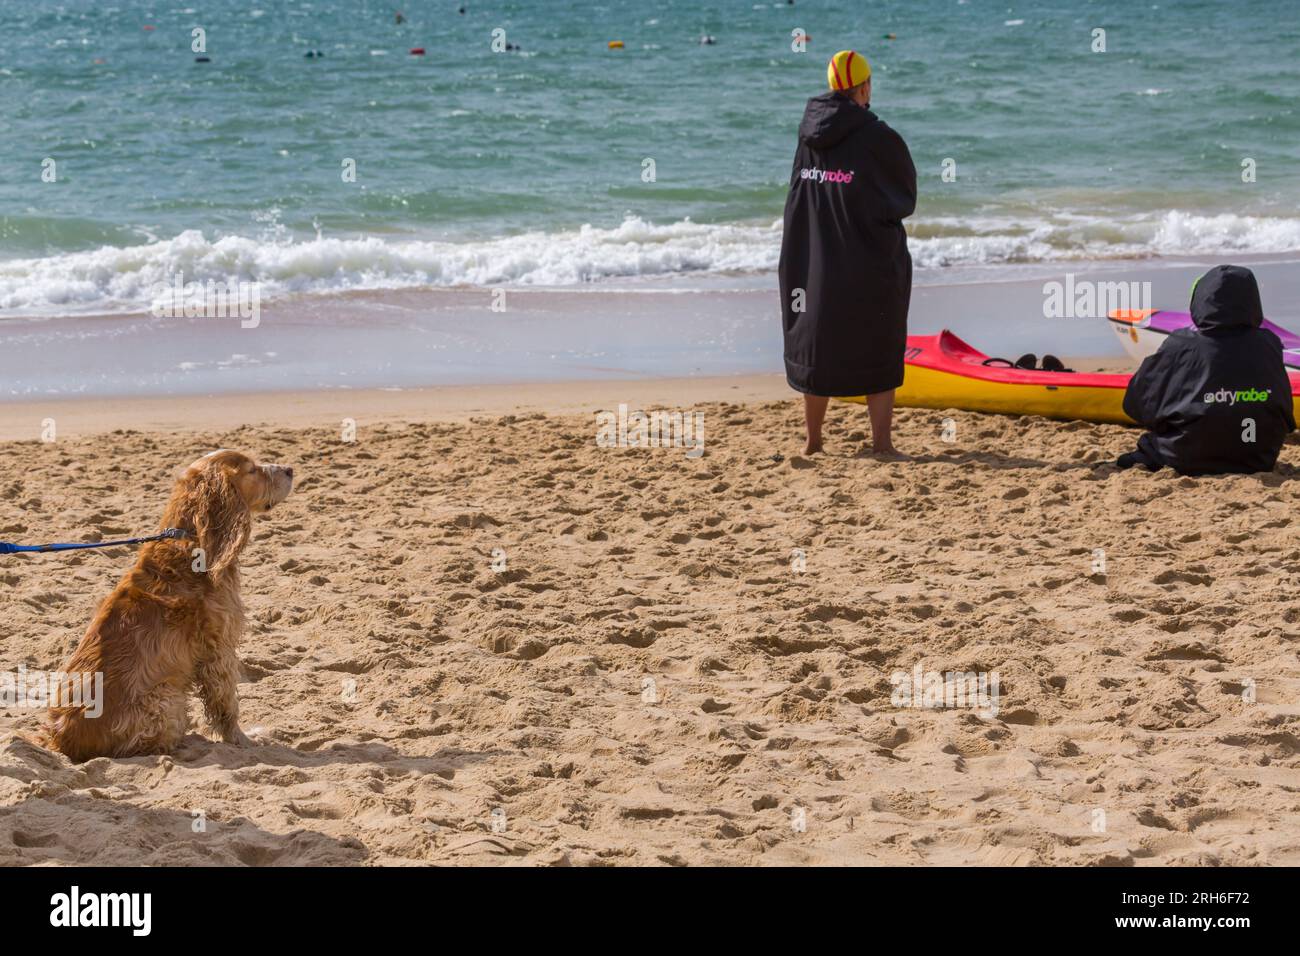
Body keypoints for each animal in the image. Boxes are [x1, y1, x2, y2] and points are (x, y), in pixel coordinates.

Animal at [46, 450, 295, 764]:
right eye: (252, 470)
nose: (290, 470)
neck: (192, 541)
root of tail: (62, 742)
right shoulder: (219, 651)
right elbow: (226, 703)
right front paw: (242, 740)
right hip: (167, 697)